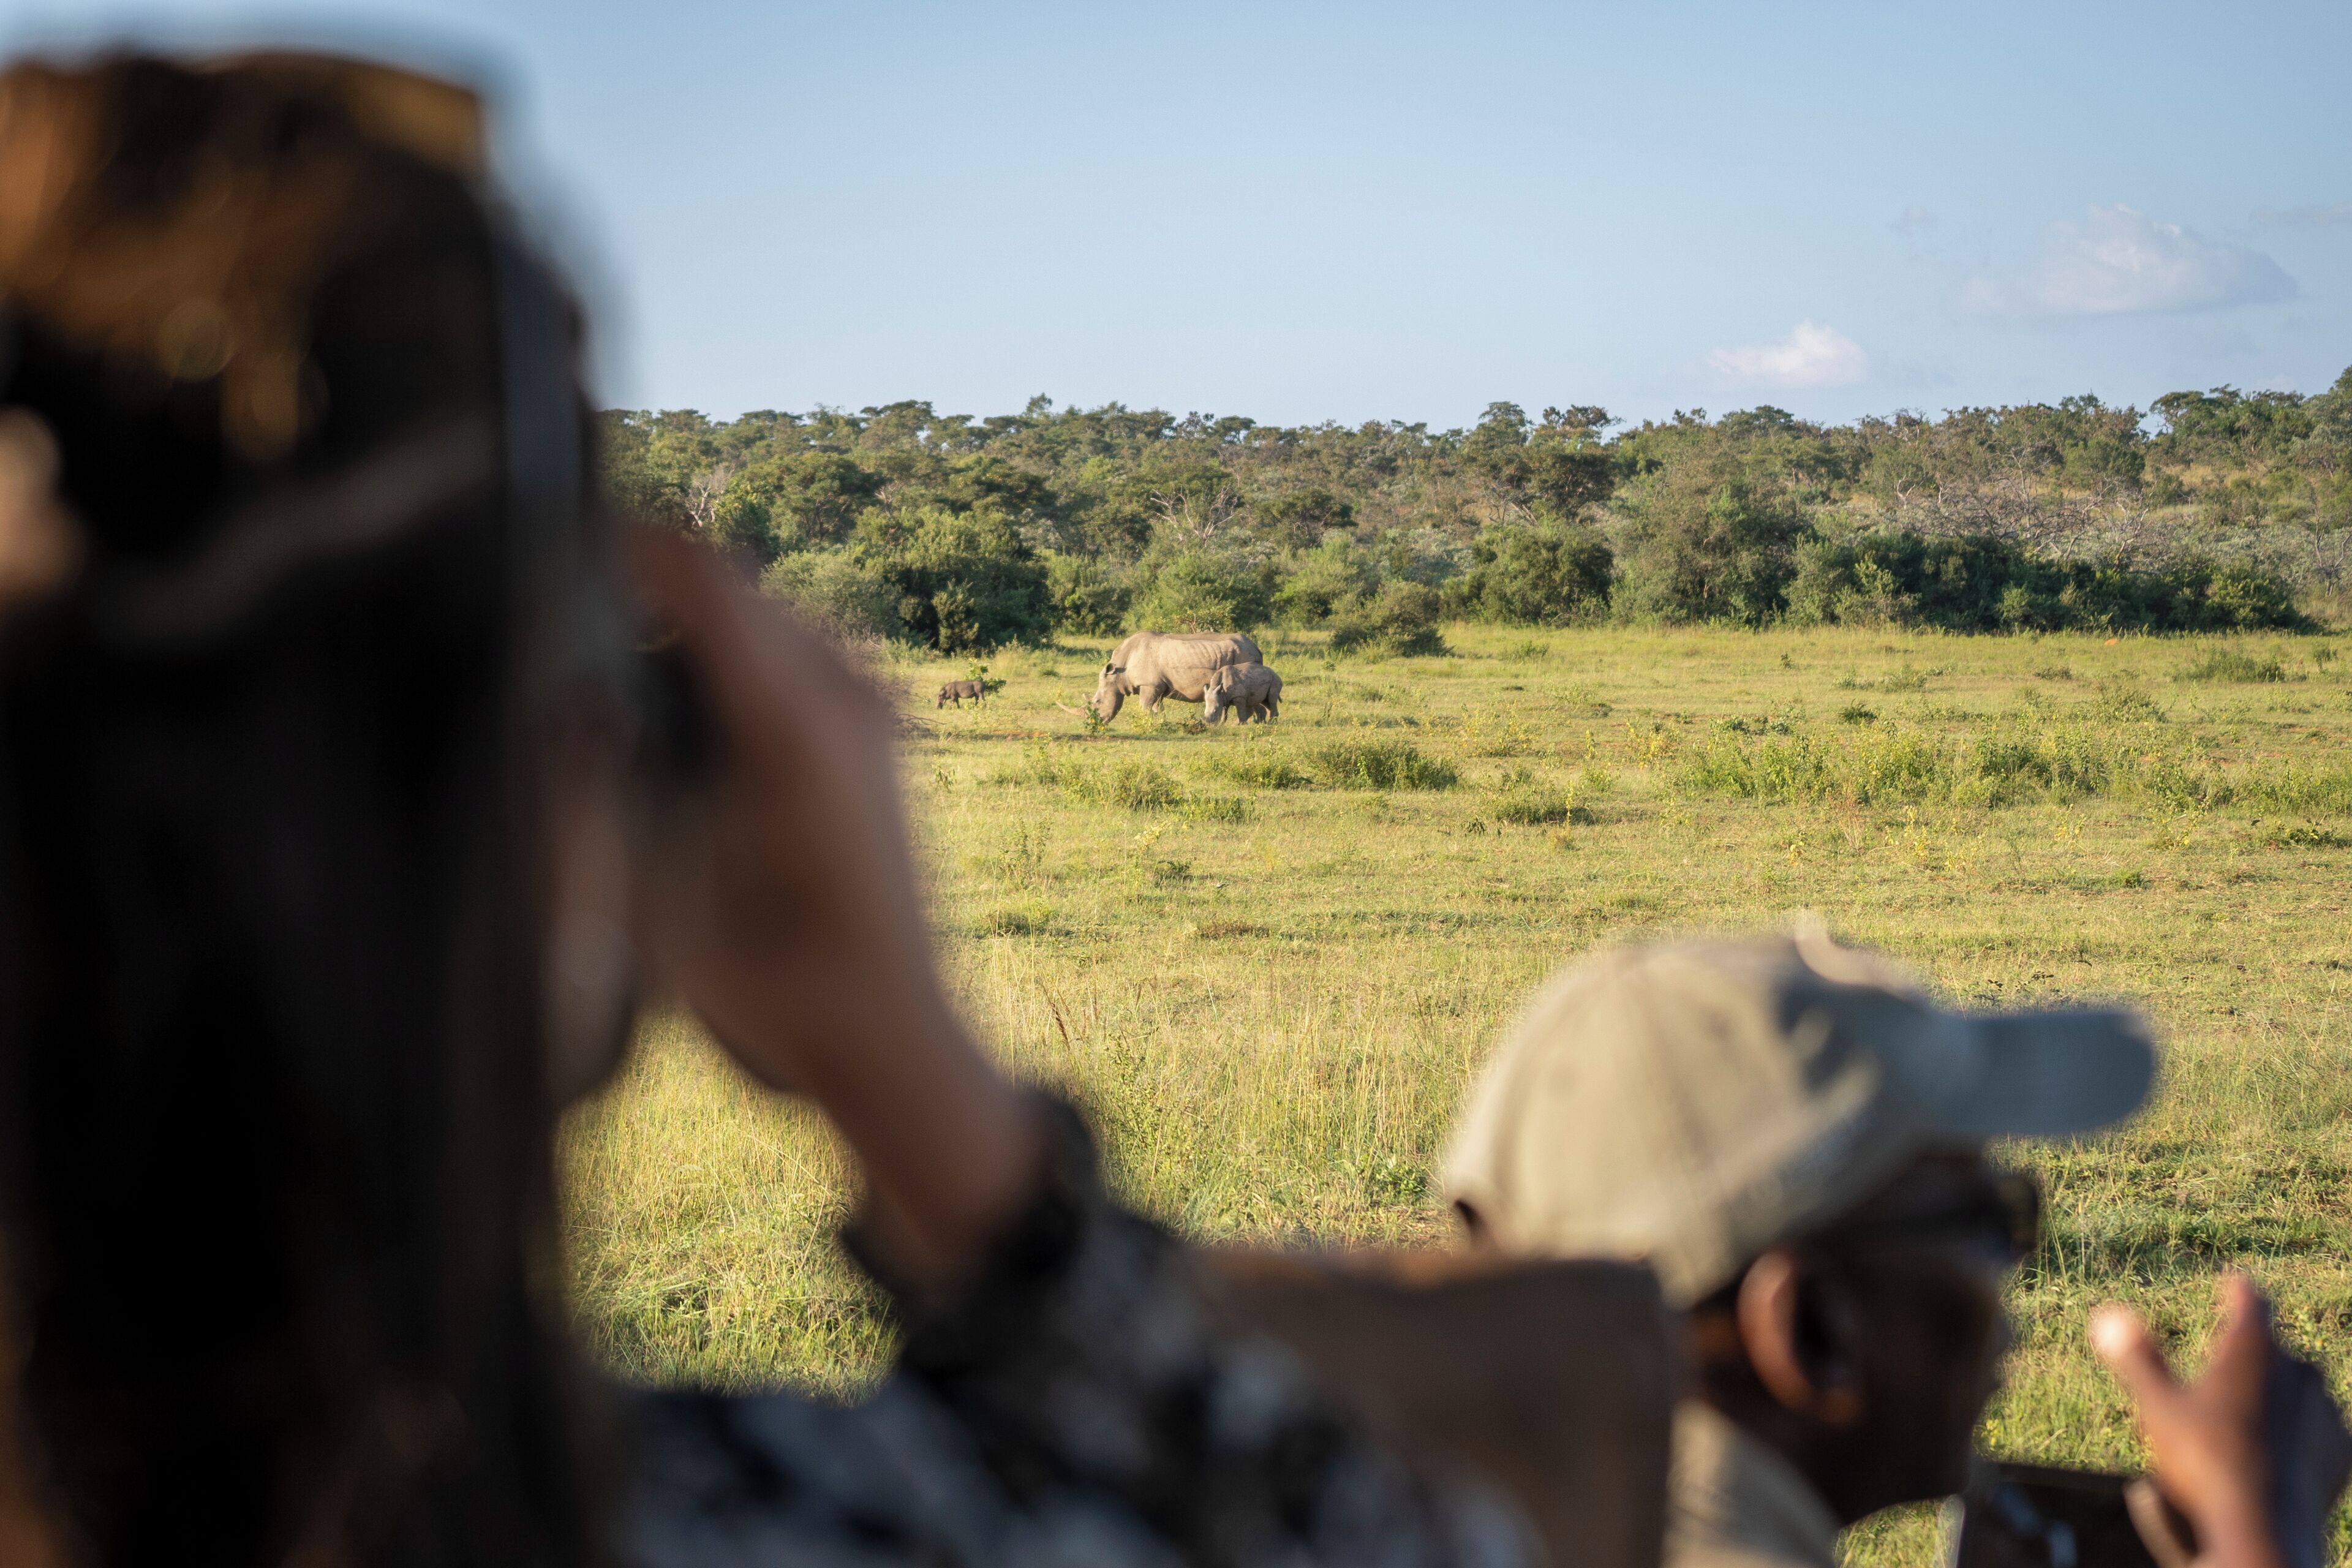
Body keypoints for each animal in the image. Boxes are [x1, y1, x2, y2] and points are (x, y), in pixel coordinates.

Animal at [1090, 631, 1262, 720]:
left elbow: (1144, 706)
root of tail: (1256, 648)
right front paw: (1160, 722)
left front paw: (1146, 722)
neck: (1119, 672)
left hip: (1244, 654)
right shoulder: (1159, 686)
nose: (1095, 722)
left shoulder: (1149, 684)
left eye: (1097, 702)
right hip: (1244, 653)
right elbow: (1158, 708)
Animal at [1203, 662, 1282, 724]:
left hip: (1275, 680)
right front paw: (1222, 723)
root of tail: (1275, 673)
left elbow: (1240, 711)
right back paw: (1270, 722)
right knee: (1265, 701)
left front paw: (1241, 724)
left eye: (1215, 711)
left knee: (1272, 700)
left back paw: (1271, 723)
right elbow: (1224, 711)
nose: (1209, 725)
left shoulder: (1239, 696)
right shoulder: (1223, 698)